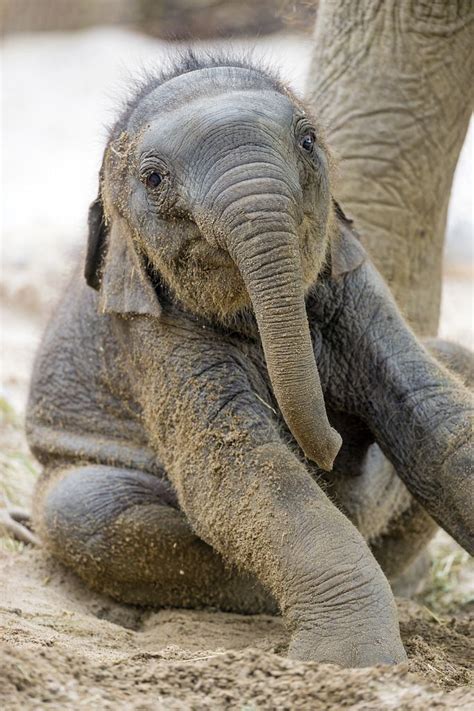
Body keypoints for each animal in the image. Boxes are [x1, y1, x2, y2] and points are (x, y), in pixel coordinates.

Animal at [27, 54, 472, 668]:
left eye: (308, 139)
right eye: (153, 179)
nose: (336, 446)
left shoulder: (353, 282)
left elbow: (437, 421)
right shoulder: (152, 332)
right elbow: (239, 473)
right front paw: (348, 662)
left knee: (454, 357)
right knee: (83, 510)